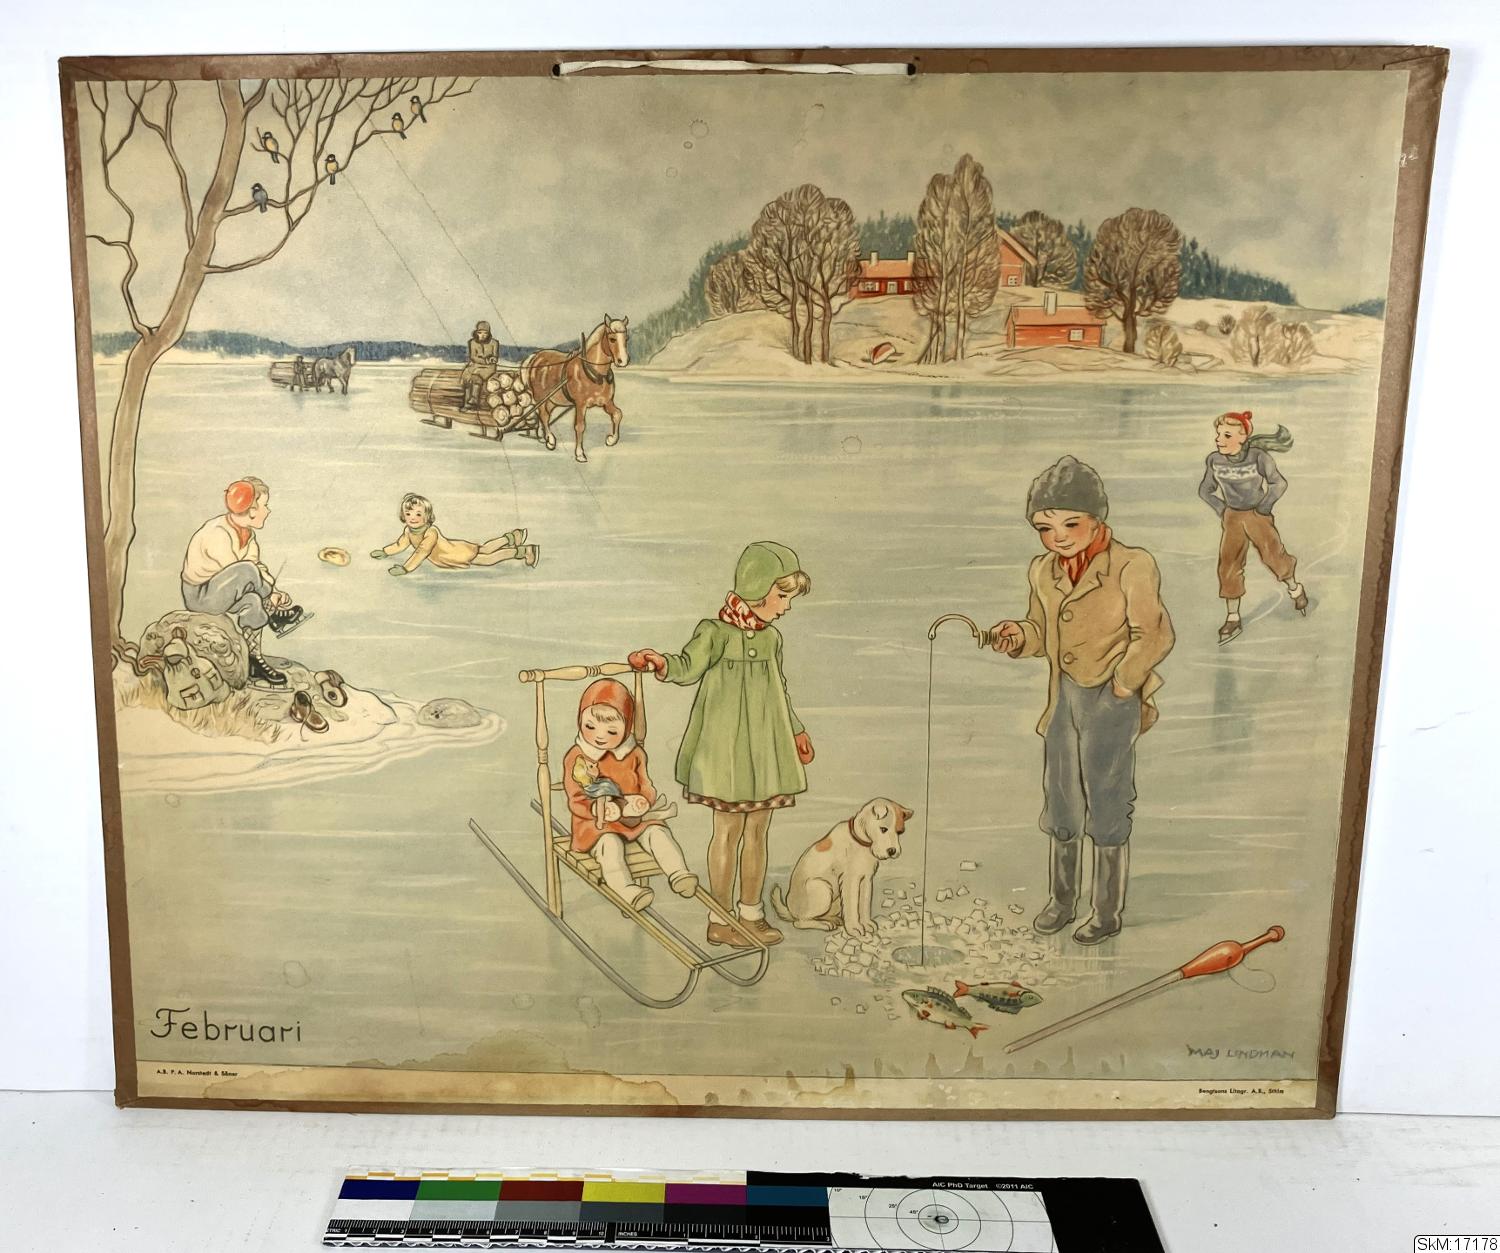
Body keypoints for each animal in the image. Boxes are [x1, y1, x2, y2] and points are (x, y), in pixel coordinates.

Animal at [521, 315, 629, 462]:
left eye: (626, 338)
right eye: (612, 339)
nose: (623, 361)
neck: (592, 371)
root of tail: (535, 357)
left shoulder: (606, 402)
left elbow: (618, 414)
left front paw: (611, 439)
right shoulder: (580, 404)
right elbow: (580, 426)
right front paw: (579, 453)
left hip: (551, 400)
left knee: (544, 415)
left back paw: (542, 436)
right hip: (541, 398)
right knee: (544, 416)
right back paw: (550, 439)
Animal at [770, 798, 912, 937]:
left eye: (900, 832)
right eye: (883, 829)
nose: (892, 851)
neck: (861, 842)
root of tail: (790, 910)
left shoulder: (866, 880)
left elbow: (864, 905)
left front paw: (866, 924)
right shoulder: (850, 881)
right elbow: (852, 908)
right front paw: (854, 928)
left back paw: (832, 920)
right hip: (821, 888)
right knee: (800, 922)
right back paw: (824, 925)